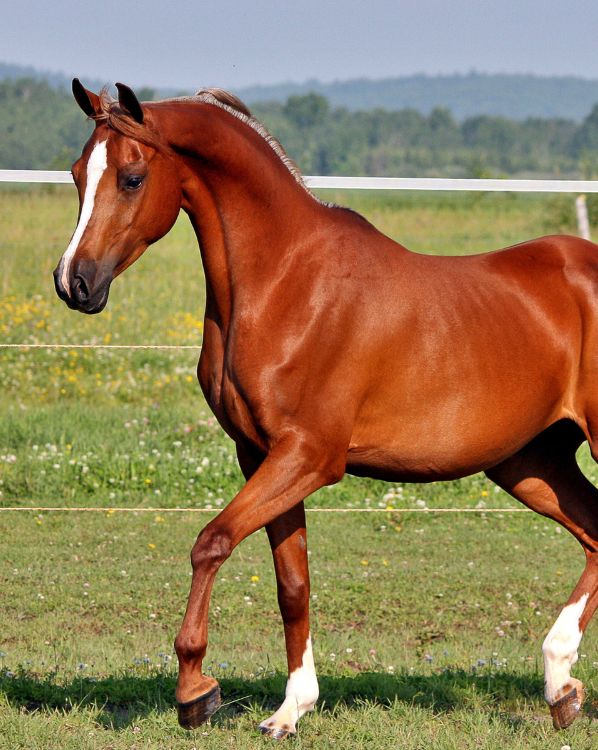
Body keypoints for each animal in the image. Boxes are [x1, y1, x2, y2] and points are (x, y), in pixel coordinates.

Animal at [53, 78, 597, 738]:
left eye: (132, 178)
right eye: (77, 172)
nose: (74, 283)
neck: (286, 282)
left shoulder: (309, 457)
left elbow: (211, 541)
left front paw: (195, 691)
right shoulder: (262, 456)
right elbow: (293, 583)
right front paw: (290, 710)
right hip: (532, 463)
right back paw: (560, 684)